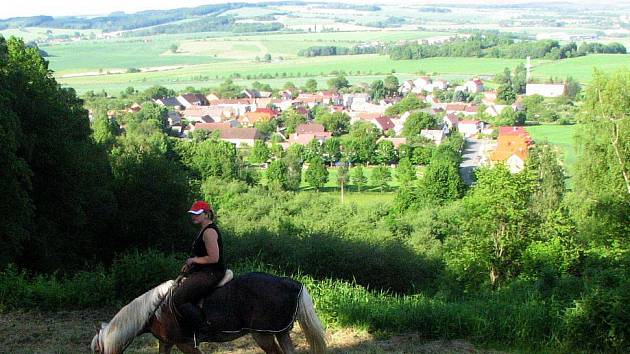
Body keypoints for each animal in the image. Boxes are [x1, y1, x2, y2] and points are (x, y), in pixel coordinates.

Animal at [92, 270, 330, 352]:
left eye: (97, 350)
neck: (155, 310)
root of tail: (291, 283)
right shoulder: (167, 343)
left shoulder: (185, 344)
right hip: (280, 333)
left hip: (263, 335)